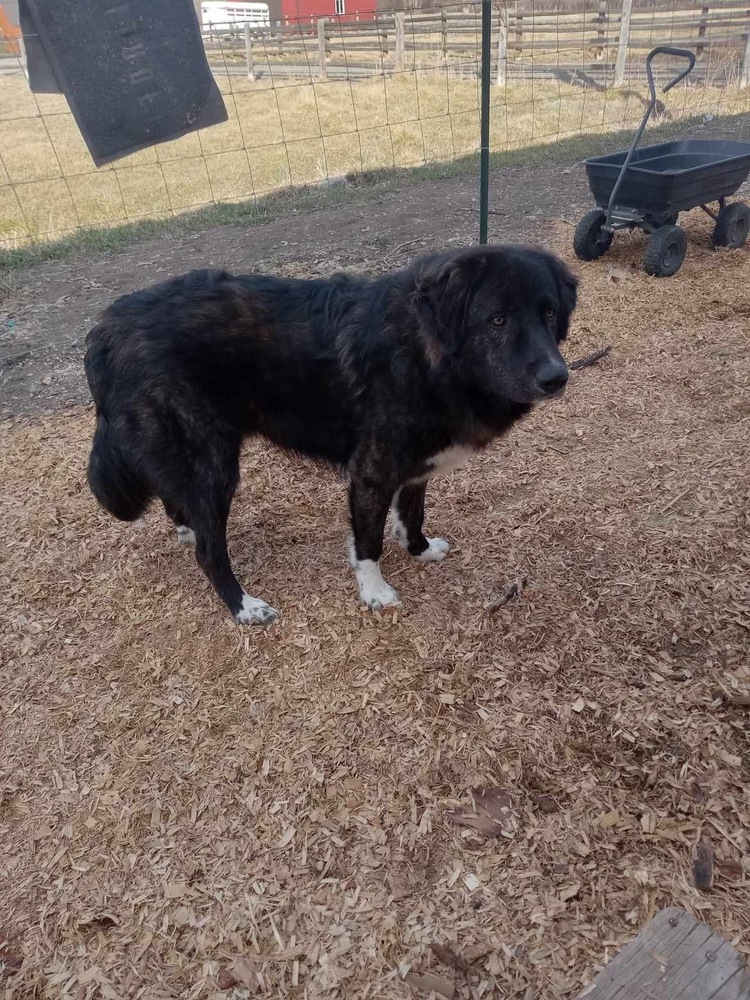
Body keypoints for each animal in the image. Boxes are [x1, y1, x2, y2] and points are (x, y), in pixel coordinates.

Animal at [85, 245, 580, 620]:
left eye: (549, 313)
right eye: (497, 320)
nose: (557, 378)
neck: (428, 354)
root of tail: (104, 331)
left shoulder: (416, 468)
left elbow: (412, 515)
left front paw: (418, 550)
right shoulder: (371, 473)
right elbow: (369, 542)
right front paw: (375, 592)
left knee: (181, 504)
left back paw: (189, 529)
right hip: (214, 463)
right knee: (209, 551)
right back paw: (243, 606)